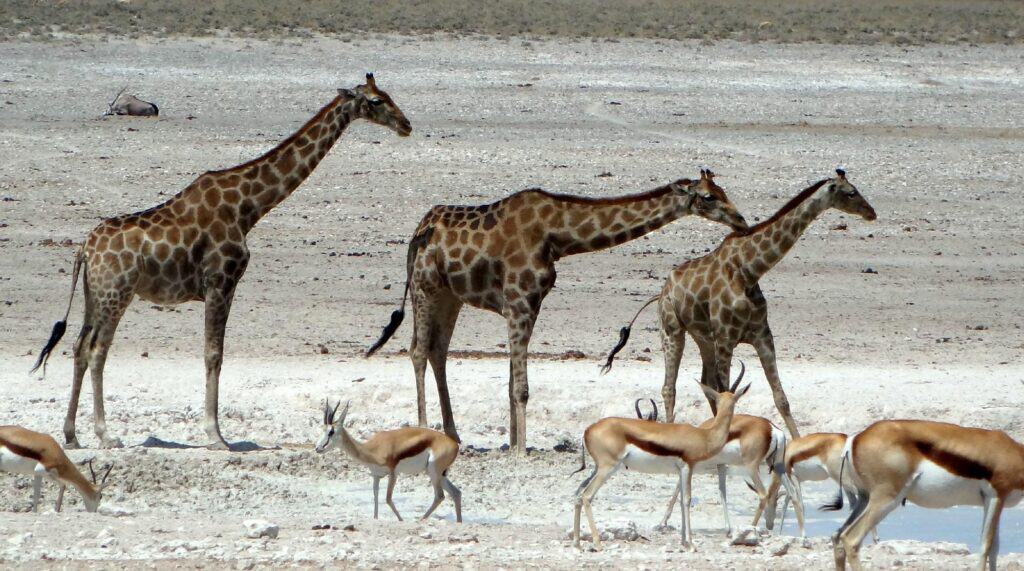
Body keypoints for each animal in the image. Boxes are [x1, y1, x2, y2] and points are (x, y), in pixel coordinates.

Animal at [30, 72, 411, 452]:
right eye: (376, 101)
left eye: (388, 94)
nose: (406, 125)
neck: (248, 208)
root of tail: (84, 249)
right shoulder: (221, 282)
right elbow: (214, 353)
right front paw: (216, 435)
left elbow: (214, 353)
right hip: (116, 294)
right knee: (97, 350)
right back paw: (105, 434)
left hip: (93, 295)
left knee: (79, 347)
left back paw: (71, 434)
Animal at [366, 169, 745, 456]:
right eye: (709, 196)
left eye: (723, 190)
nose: (740, 220)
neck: (557, 236)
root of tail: (418, 232)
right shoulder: (520, 301)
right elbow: (520, 387)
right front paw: (521, 449)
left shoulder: (528, 303)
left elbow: (510, 382)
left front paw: (514, 443)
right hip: (425, 287)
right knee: (418, 351)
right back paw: (424, 428)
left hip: (450, 296)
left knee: (437, 351)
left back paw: (453, 435)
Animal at [602, 169, 876, 437]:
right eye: (851, 192)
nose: (871, 212)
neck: (749, 270)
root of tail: (661, 293)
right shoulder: (726, 338)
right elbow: (727, 392)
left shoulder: (762, 335)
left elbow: (780, 398)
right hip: (672, 330)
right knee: (670, 388)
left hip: (703, 338)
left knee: (705, 383)